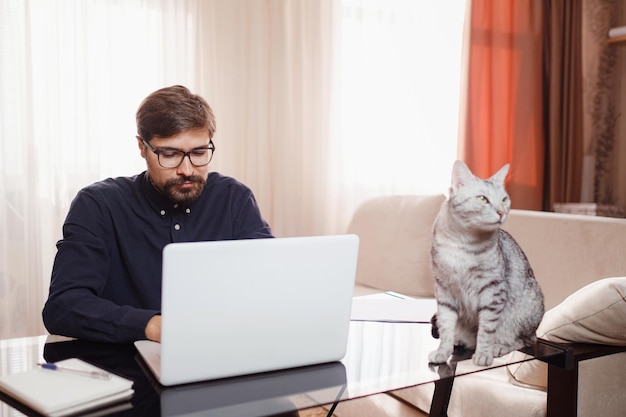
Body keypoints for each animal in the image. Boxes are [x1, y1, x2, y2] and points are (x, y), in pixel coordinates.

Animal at [428, 159, 540, 364]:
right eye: (483, 199)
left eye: (504, 199)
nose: (501, 212)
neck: (462, 242)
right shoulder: (444, 289)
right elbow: (446, 325)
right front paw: (443, 351)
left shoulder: (493, 291)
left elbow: (486, 330)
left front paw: (483, 354)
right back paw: (460, 340)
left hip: (525, 312)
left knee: (525, 340)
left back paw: (498, 347)